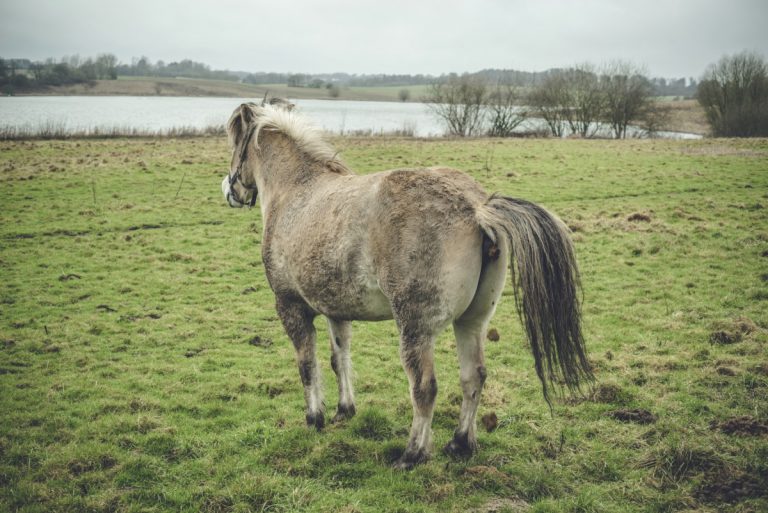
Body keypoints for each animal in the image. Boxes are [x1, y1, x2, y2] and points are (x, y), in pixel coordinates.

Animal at [222, 97, 592, 468]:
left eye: (234, 144)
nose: (229, 189)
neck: (298, 191)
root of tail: (476, 208)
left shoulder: (291, 307)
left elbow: (307, 365)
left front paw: (314, 419)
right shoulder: (336, 311)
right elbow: (339, 358)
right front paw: (344, 410)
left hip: (415, 330)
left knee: (424, 388)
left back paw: (412, 454)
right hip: (471, 322)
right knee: (473, 376)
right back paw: (460, 444)